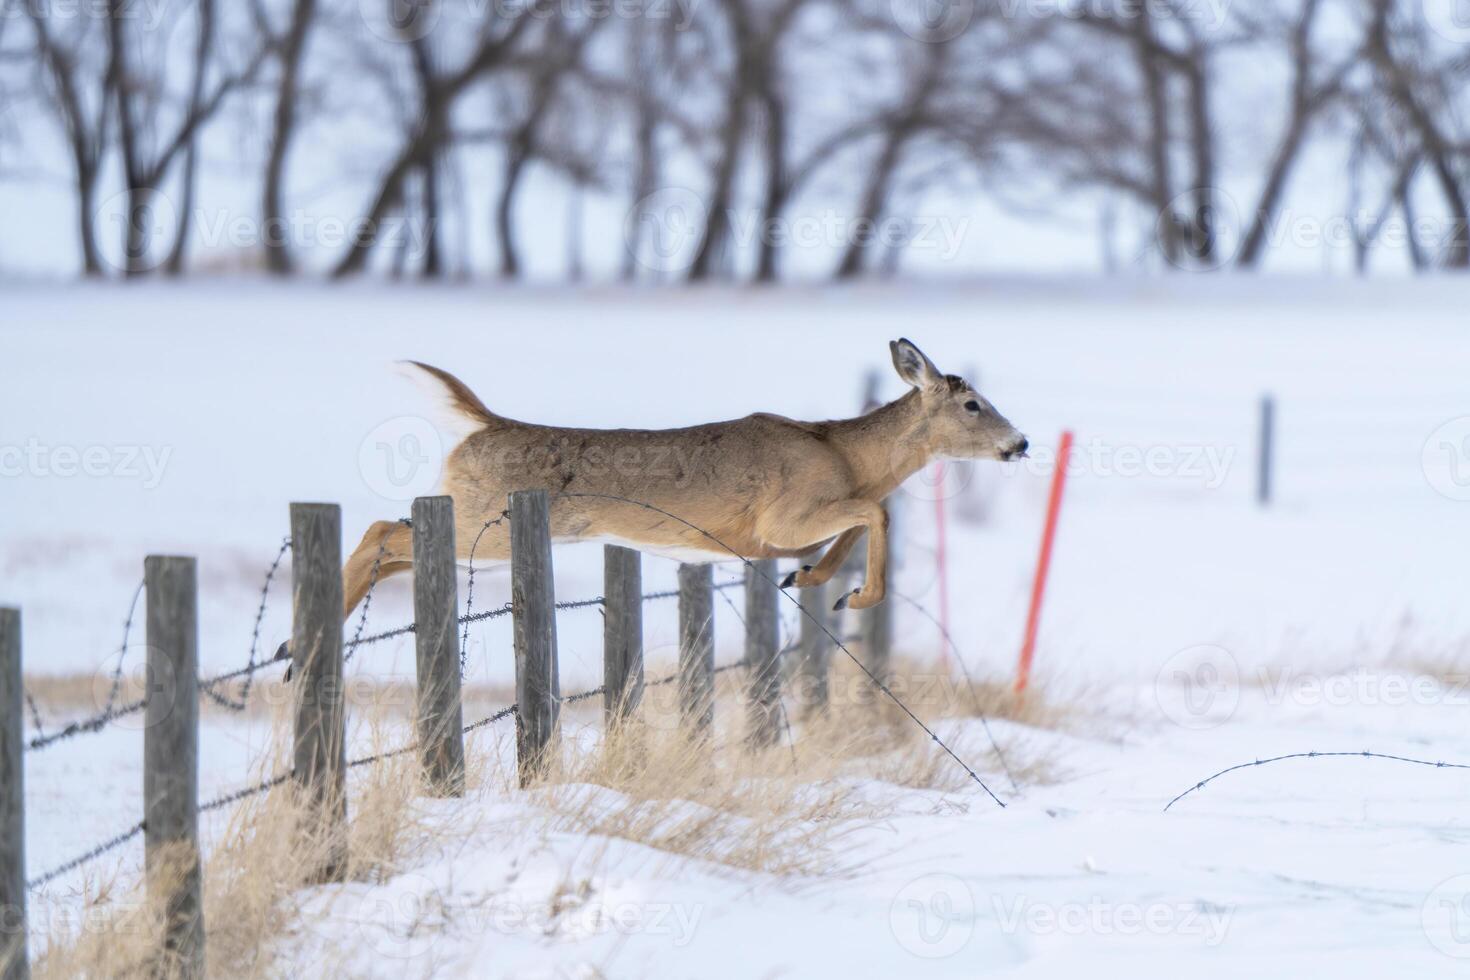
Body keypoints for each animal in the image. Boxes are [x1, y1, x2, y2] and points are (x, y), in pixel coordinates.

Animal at [341, 337, 1023, 614]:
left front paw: (812, 580)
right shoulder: (781, 517)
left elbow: (854, 528)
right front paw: (856, 595)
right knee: (380, 532)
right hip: (485, 523)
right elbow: (873, 513)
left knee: (395, 547)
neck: (847, 457)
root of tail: (483, 423)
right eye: (973, 405)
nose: (1020, 443)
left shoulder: (784, 532)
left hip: (476, 525)